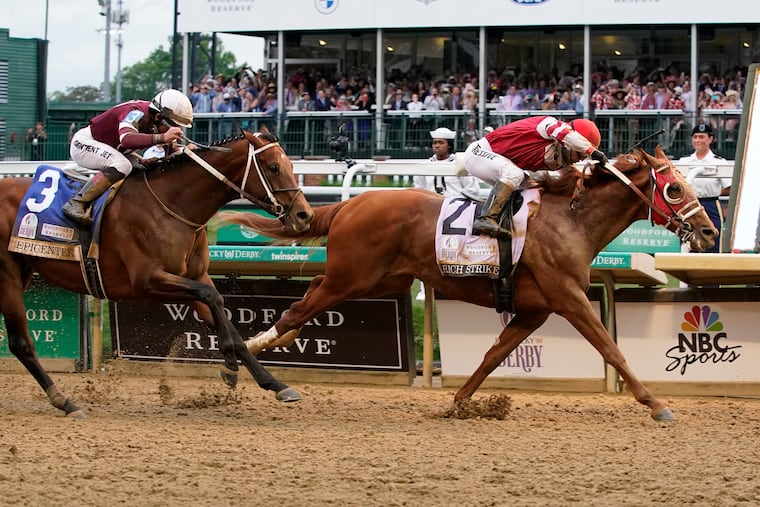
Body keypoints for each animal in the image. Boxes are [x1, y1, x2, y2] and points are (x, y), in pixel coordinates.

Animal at [0, 128, 314, 418]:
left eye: (290, 165)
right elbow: (212, 298)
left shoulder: (194, 278)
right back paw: (65, 402)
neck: (172, 205)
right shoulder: (148, 281)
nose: (305, 215)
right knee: (21, 343)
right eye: (273, 168)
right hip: (8, 275)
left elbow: (223, 315)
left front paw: (272, 383)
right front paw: (231, 366)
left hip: (23, 270)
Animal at [219, 146, 717, 421]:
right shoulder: (569, 298)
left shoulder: (535, 309)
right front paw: (656, 403)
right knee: (297, 308)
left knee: (308, 299)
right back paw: (249, 355)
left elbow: (493, 355)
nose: (710, 231)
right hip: (353, 277)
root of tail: (350, 204)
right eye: (674, 189)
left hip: (375, 280)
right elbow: (611, 348)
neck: (571, 219)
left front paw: (458, 401)